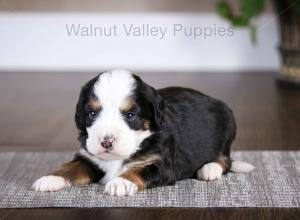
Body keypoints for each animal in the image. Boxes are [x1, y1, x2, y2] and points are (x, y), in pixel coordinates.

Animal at [32, 69, 253, 196]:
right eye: (92, 113)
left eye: (130, 115)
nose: (106, 141)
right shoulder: (90, 157)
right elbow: (70, 167)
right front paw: (50, 178)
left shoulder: (160, 164)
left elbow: (138, 170)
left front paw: (120, 182)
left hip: (228, 126)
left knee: (225, 160)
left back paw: (209, 169)